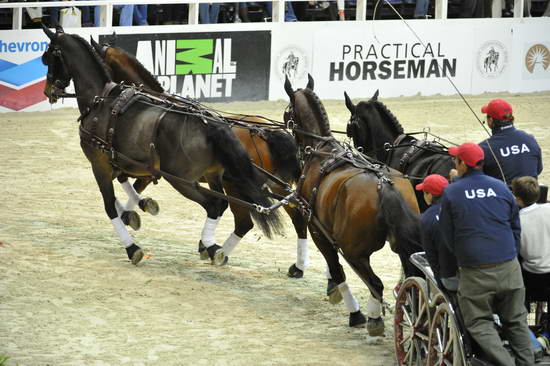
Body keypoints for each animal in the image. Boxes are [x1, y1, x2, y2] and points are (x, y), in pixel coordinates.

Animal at [42, 25, 282, 266]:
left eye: (48, 58)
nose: (48, 91)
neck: (100, 99)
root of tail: (212, 123)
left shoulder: (101, 164)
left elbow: (110, 205)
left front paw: (132, 244)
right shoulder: (124, 162)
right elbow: (124, 188)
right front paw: (138, 208)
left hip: (185, 181)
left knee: (217, 207)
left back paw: (212, 246)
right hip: (215, 176)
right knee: (223, 207)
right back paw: (212, 247)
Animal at [92, 40, 312, 278]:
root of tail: (266, 133)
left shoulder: (149, 169)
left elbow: (128, 184)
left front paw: (130, 211)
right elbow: (124, 181)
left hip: (238, 186)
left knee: (245, 222)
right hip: (273, 185)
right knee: (295, 215)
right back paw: (297, 265)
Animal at [284, 76, 422, 336]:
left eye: (288, 111)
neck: (322, 150)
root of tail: (384, 185)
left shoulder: (318, 231)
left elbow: (337, 270)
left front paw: (352, 309)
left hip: (354, 251)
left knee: (375, 282)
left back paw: (374, 318)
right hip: (404, 247)